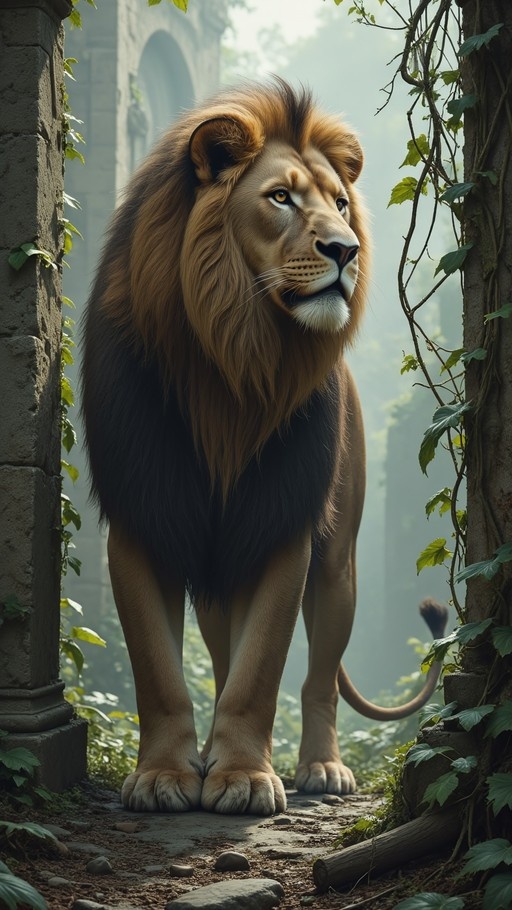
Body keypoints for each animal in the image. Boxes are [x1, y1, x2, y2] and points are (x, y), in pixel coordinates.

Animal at [81, 79, 447, 816]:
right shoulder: (141, 516)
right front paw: (164, 776)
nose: (347, 250)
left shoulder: (283, 524)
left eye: (341, 203)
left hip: (337, 566)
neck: (233, 355)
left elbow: (263, 670)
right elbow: (159, 670)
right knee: (223, 659)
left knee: (318, 679)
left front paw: (247, 778)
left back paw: (321, 768)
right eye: (280, 197)